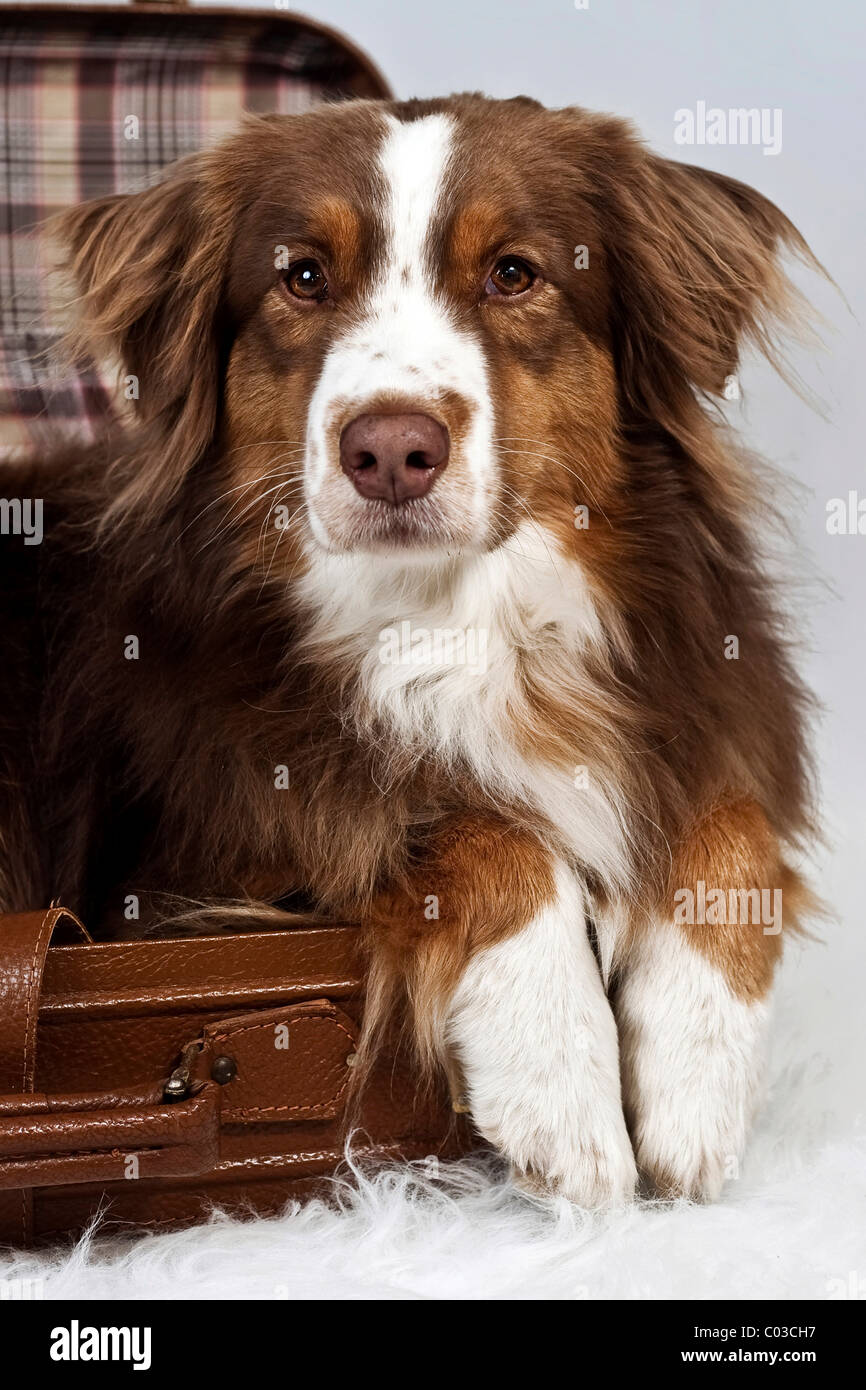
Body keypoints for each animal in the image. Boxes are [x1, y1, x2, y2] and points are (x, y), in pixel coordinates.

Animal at [0, 97, 817, 1206]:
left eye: (513, 273)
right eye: (302, 276)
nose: (389, 449)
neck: (448, 613)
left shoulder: (707, 706)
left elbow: (730, 826)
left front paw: (695, 1086)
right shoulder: (168, 885)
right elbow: (464, 823)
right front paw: (563, 1089)